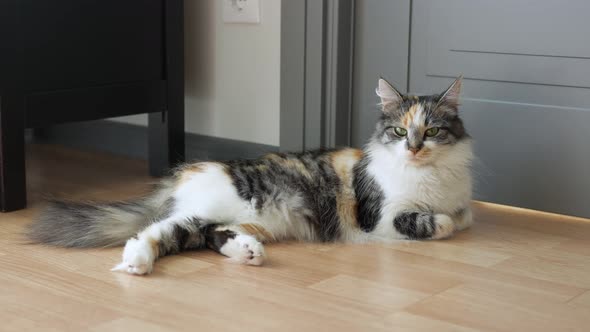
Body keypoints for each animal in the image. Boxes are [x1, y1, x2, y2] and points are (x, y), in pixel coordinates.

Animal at [27, 76, 474, 274]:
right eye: (399, 132)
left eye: (431, 132)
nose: (413, 148)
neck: (430, 176)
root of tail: (188, 172)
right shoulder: (380, 215)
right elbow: (441, 222)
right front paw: (440, 222)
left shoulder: (458, 199)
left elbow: (465, 213)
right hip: (221, 202)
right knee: (157, 228)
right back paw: (136, 260)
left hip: (235, 218)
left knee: (202, 234)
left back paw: (247, 252)